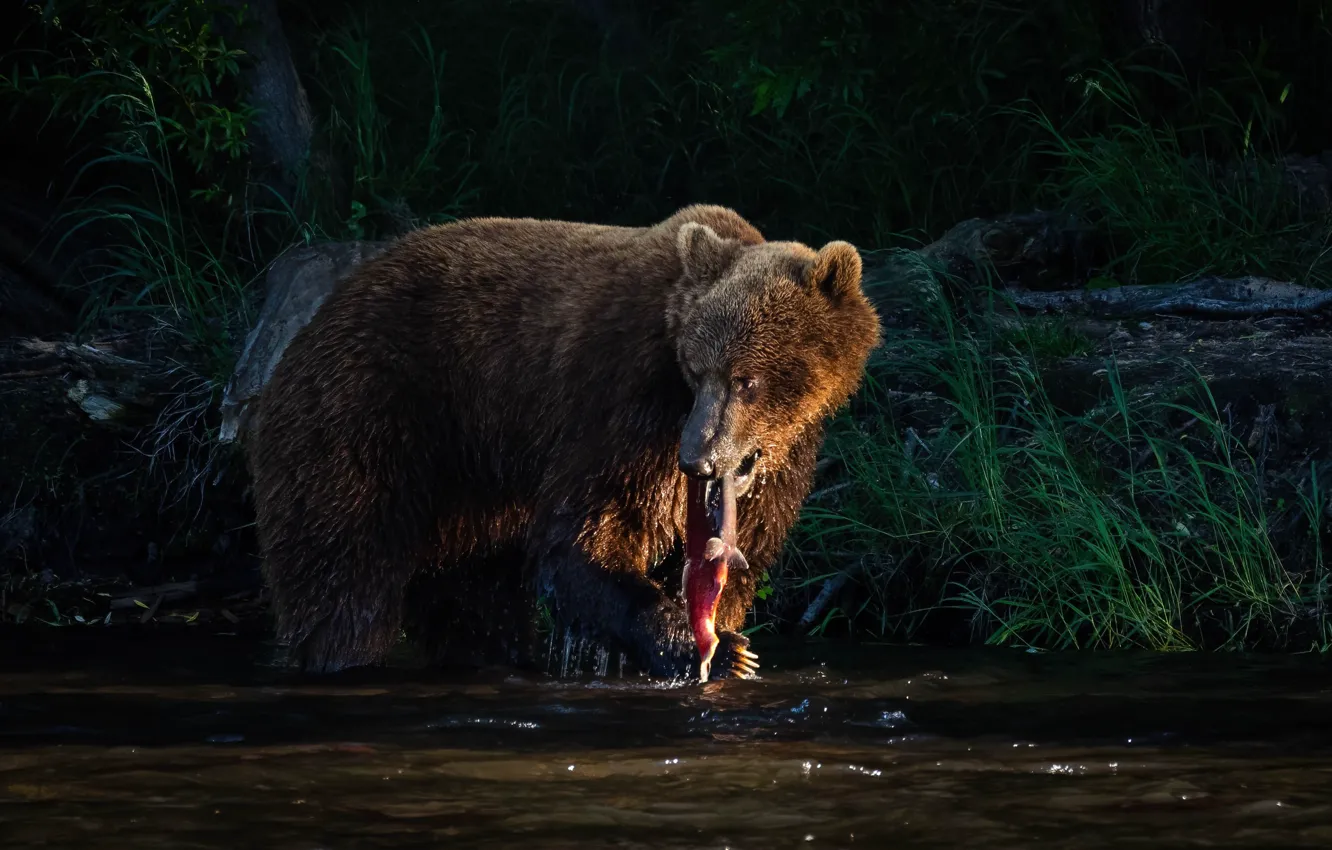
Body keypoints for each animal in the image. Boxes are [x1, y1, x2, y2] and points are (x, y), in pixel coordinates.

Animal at [247, 204, 881, 679]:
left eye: (746, 379)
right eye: (698, 370)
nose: (697, 459)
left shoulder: (784, 458)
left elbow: (747, 546)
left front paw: (724, 635)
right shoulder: (618, 403)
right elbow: (588, 532)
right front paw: (707, 647)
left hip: (470, 492)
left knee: (474, 597)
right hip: (372, 419)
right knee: (346, 577)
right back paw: (342, 655)